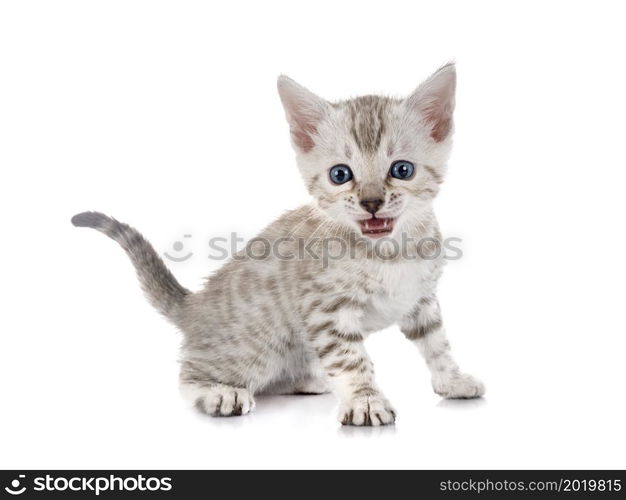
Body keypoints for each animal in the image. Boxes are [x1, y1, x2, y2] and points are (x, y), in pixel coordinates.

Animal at [73, 63, 482, 426]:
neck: (391, 252)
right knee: (190, 375)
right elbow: (351, 360)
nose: (371, 202)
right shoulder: (326, 311)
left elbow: (437, 343)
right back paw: (220, 392)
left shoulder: (421, 300)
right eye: (340, 175)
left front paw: (452, 380)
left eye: (402, 170)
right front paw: (365, 401)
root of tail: (195, 305)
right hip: (254, 349)